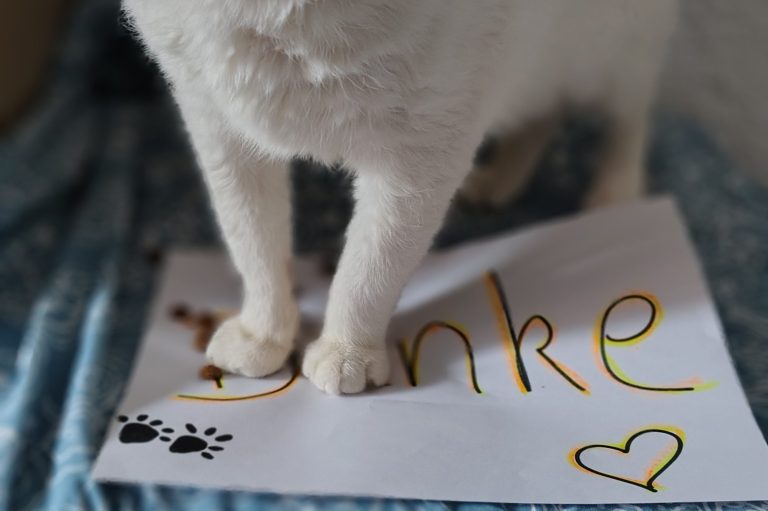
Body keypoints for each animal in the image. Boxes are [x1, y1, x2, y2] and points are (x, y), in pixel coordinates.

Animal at [124, 0, 680, 396]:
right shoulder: (220, 127)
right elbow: (254, 243)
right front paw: (264, 336)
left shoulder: (420, 155)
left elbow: (370, 268)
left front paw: (347, 352)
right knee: (542, 114)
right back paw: (501, 181)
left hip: (617, 47)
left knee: (630, 112)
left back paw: (615, 197)